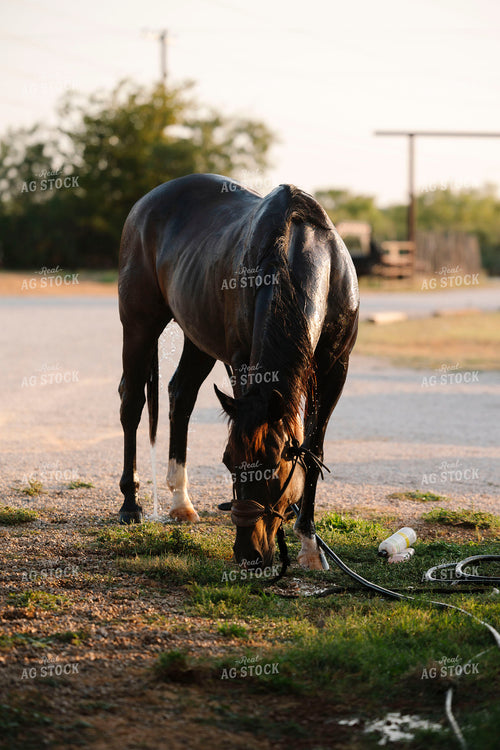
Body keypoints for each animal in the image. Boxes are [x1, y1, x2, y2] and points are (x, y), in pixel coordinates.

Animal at [118, 173, 359, 572]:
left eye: (275, 468)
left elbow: (312, 447)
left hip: (197, 337)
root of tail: (145, 203)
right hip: (139, 324)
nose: (250, 556)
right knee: (132, 402)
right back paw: (130, 504)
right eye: (228, 463)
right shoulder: (240, 363)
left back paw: (181, 503)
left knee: (180, 394)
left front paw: (309, 543)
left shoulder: (334, 369)